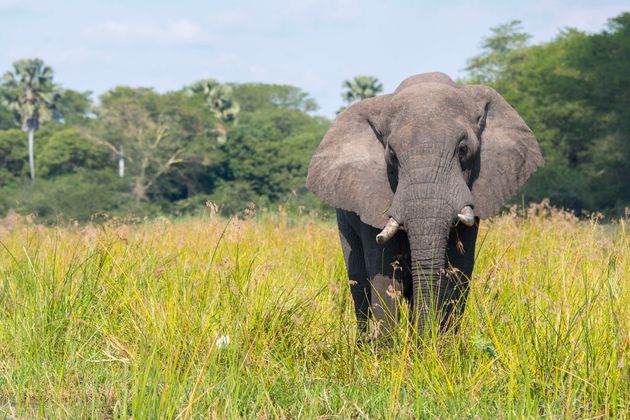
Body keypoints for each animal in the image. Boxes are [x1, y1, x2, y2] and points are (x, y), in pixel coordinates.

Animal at [306, 72, 544, 342]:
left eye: (463, 150)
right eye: (392, 156)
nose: (424, 341)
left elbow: (458, 272)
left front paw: (439, 349)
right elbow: (385, 273)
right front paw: (388, 352)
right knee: (358, 281)